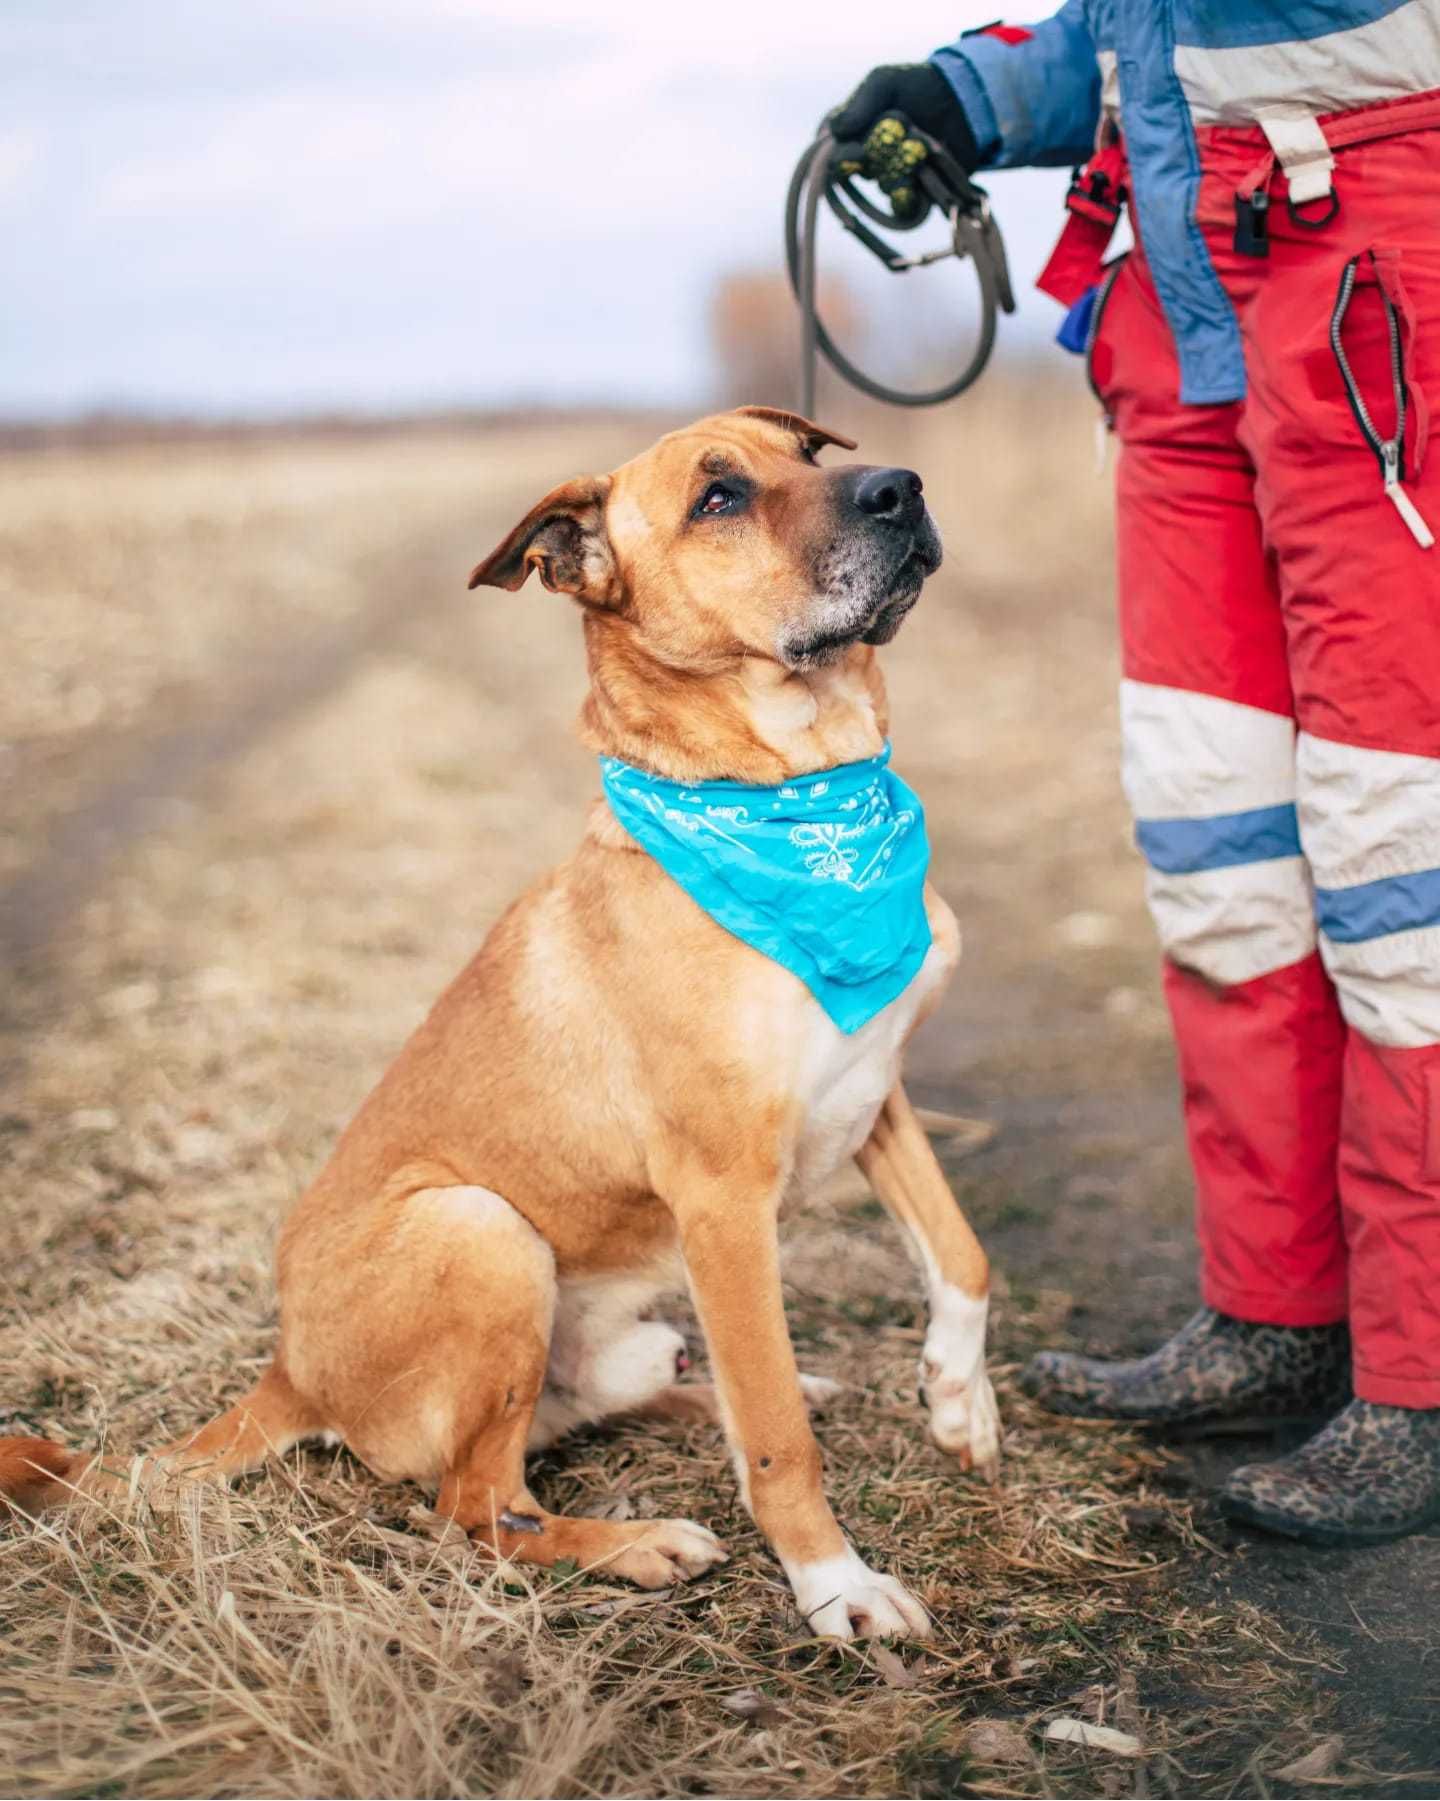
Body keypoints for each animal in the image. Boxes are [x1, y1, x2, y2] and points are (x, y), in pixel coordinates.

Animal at [0, 408, 993, 1649]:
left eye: (809, 450)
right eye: (717, 498)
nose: (901, 488)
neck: (798, 804)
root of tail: (288, 1369)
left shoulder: (876, 1093)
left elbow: (962, 1253)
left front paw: (959, 1400)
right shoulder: (723, 1196)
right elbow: (775, 1442)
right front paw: (834, 1584)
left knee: (590, 1414)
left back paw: (696, 1396)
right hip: (481, 1228)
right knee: (476, 1505)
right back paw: (634, 1542)